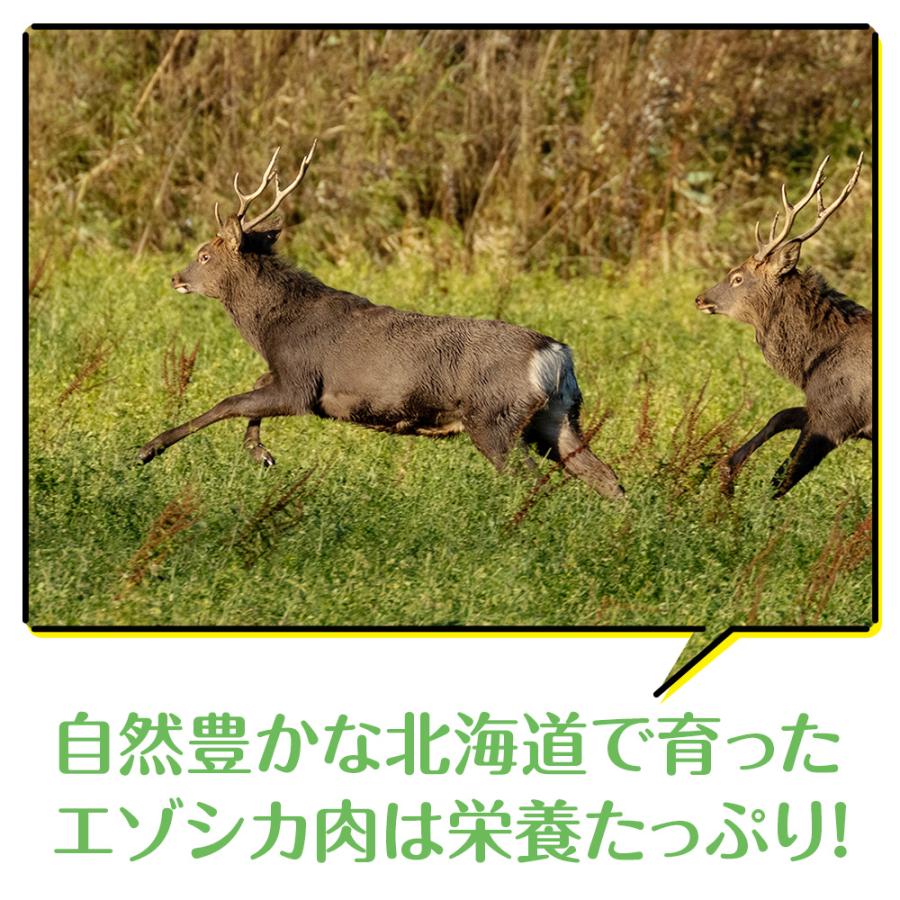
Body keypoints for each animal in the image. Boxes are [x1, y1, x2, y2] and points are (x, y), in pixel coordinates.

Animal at [138, 142, 625, 501]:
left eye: (204, 254)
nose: (176, 277)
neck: (273, 327)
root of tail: (556, 353)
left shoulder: (301, 382)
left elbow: (230, 402)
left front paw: (148, 449)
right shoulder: (288, 377)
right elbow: (250, 390)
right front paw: (260, 454)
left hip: (494, 417)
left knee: (532, 480)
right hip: (557, 416)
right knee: (606, 477)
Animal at [694, 153, 871, 497]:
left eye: (737, 277)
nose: (700, 298)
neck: (810, 364)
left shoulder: (837, 416)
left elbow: (781, 478)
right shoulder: (822, 408)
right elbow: (781, 415)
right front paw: (727, 471)